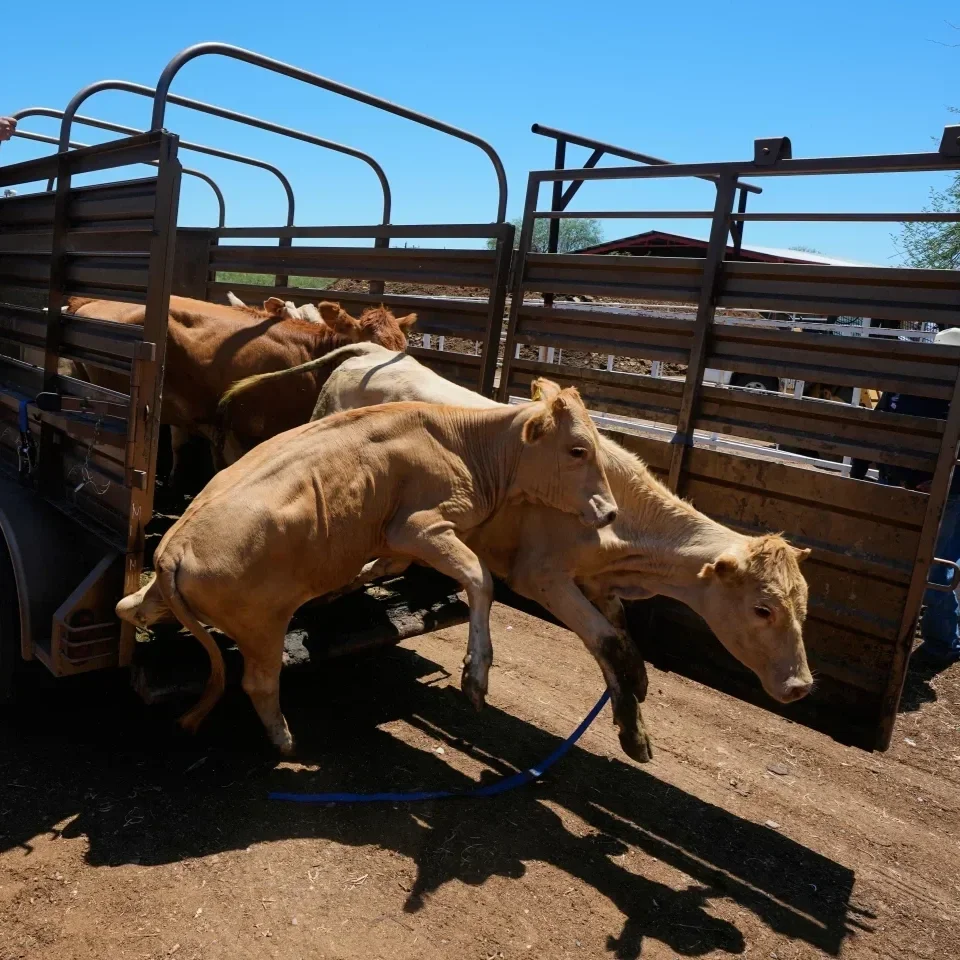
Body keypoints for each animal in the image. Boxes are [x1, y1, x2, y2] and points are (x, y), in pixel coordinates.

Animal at [116, 381, 618, 754]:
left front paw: (342, 587)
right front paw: (476, 675)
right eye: (578, 450)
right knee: (258, 682)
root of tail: (174, 545)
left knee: (130, 608)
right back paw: (284, 740)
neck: (464, 444)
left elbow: (379, 566)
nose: (611, 512)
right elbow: (480, 579)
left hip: (170, 599)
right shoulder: (420, 526)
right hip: (262, 624)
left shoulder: (395, 539)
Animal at [220, 344, 813, 762]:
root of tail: (369, 352)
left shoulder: (599, 585)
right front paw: (631, 728)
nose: (801, 685)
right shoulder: (542, 577)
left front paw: (635, 716)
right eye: (762, 608)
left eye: (801, 609)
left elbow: (622, 644)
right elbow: (606, 642)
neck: (622, 525)